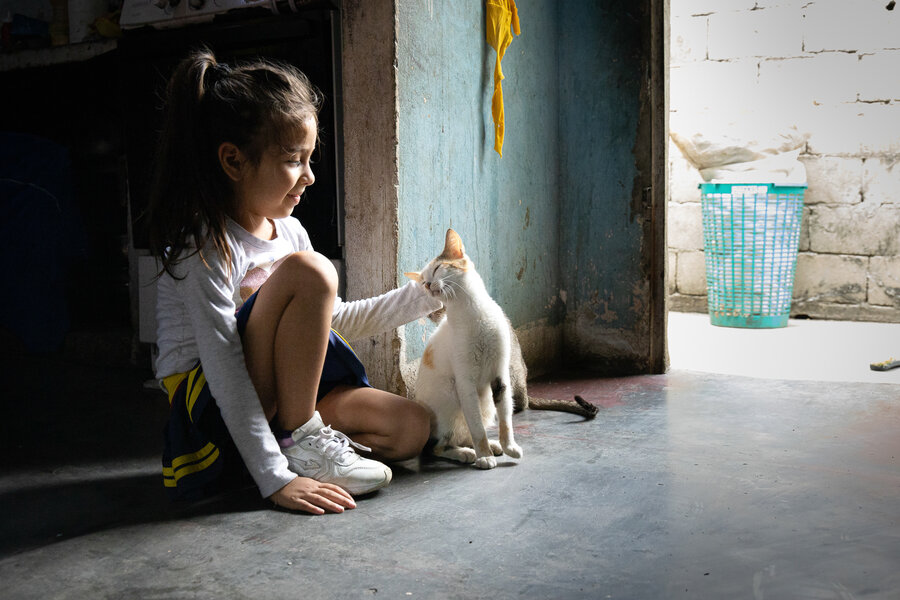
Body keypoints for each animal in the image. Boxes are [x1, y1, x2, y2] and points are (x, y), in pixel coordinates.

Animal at [406, 230, 524, 468]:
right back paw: (466, 453)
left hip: (486, 403)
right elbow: (476, 426)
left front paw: (509, 446)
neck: (471, 310)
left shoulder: (500, 374)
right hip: (450, 397)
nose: (428, 285)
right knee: (436, 448)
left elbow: (506, 417)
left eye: (437, 269)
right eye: (422, 282)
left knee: (464, 432)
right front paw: (484, 455)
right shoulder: (464, 381)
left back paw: (491, 445)